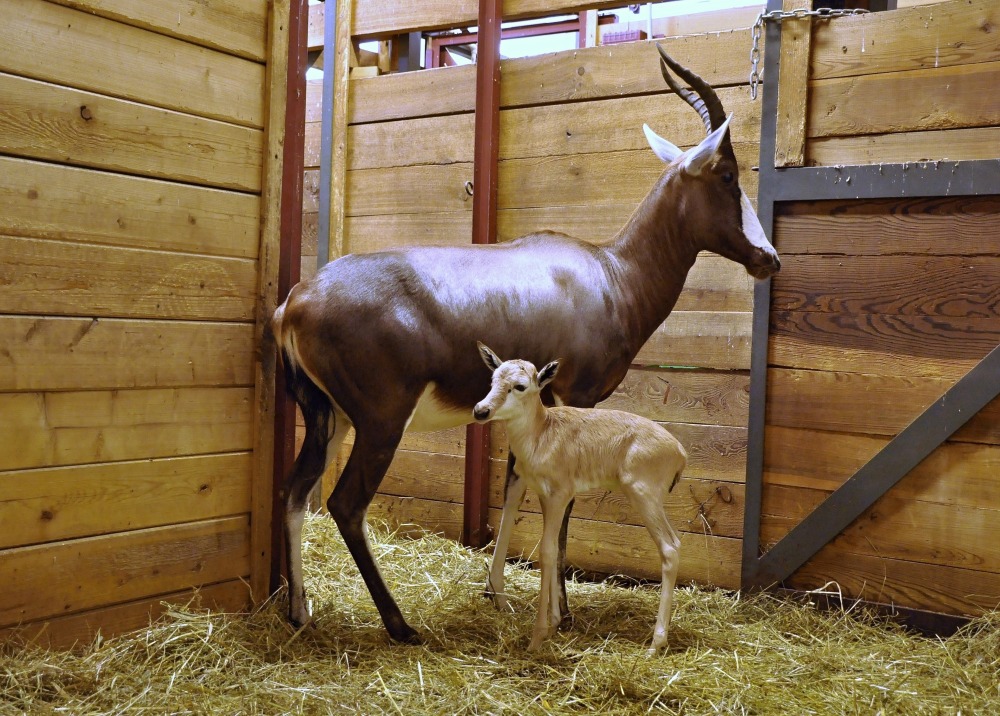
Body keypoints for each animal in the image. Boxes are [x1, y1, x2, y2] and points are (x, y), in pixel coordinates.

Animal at [472, 346, 684, 656]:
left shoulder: (559, 496)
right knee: (675, 544)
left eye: (520, 386)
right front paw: (553, 623)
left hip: (645, 499)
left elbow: (547, 552)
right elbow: (552, 549)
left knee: (670, 549)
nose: (481, 410)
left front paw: (537, 637)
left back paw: (656, 644)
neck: (543, 431)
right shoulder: (545, 497)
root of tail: (680, 451)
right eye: (493, 379)